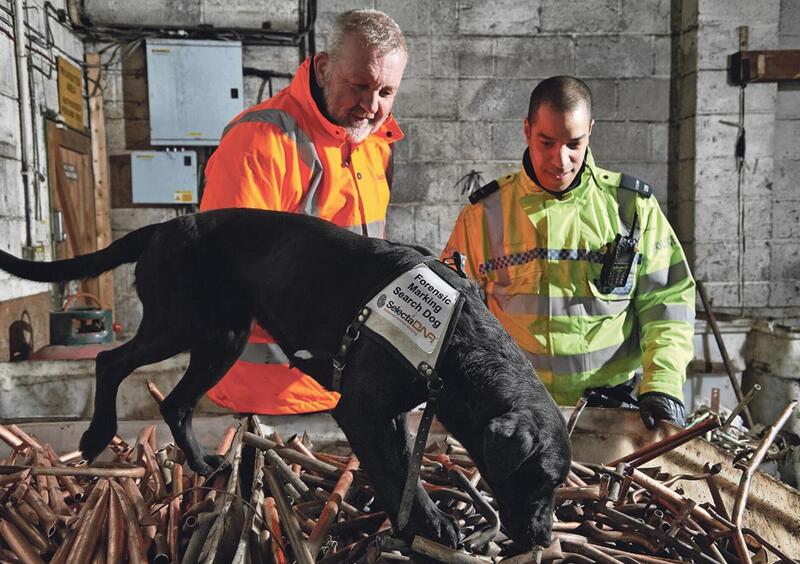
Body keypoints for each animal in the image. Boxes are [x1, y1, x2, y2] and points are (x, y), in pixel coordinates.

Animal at [0, 209, 568, 548]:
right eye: (540, 479)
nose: (544, 538)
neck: (455, 339)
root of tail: (165, 227)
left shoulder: (394, 414)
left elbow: (402, 467)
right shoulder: (361, 412)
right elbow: (392, 475)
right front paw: (424, 526)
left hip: (221, 339)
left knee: (175, 403)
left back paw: (204, 465)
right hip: (175, 324)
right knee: (110, 362)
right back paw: (97, 434)